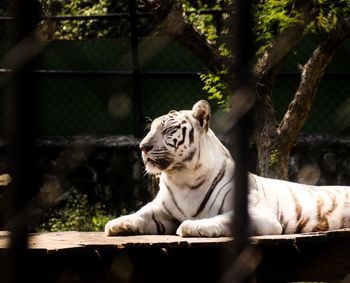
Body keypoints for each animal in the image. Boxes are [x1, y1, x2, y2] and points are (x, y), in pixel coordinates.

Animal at [105, 100, 350, 237]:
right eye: (152, 129)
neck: (182, 178)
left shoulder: (260, 214)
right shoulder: (161, 210)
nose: (143, 147)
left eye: (168, 131)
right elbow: (141, 213)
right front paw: (117, 224)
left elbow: (223, 218)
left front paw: (192, 226)